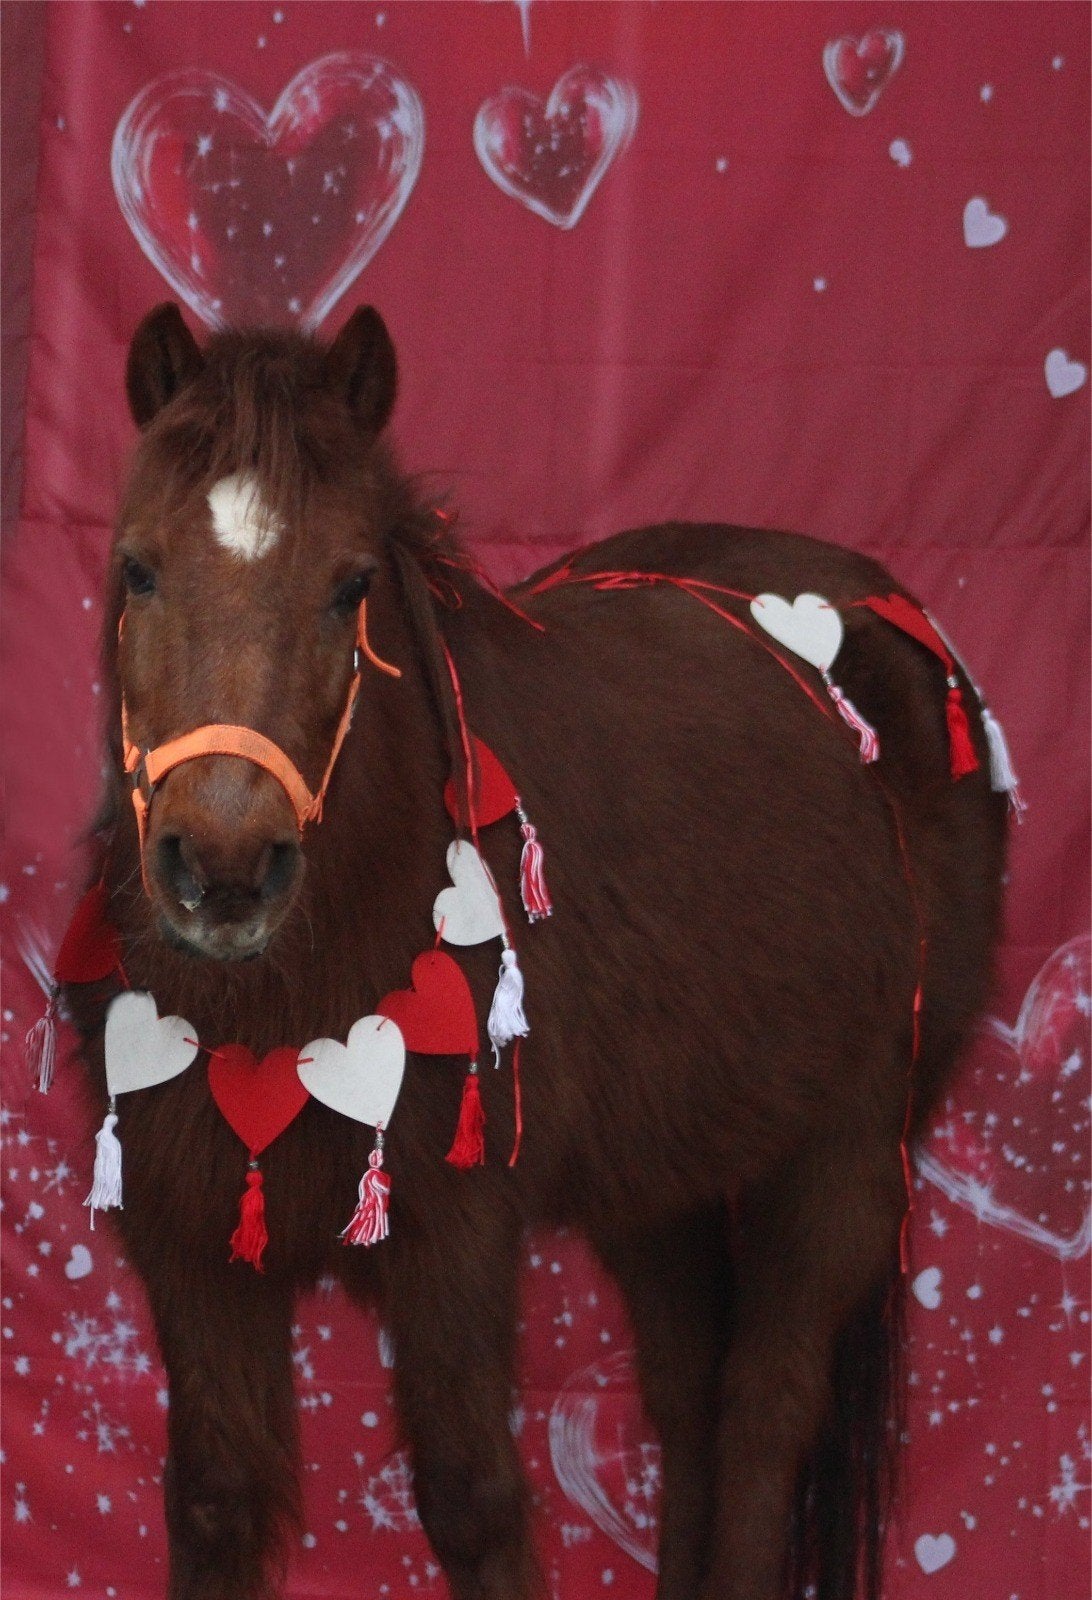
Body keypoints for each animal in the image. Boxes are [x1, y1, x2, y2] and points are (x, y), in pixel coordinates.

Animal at [64, 301, 1007, 1600]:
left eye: (352, 585)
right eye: (138, 567)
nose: (224, 869)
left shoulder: (454, 1238)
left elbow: (475, 1502)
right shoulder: (191, 1245)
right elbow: (216, 1502)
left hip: (849, 1144)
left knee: (766, 1411)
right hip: (664, 1173)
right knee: (690, 1398)